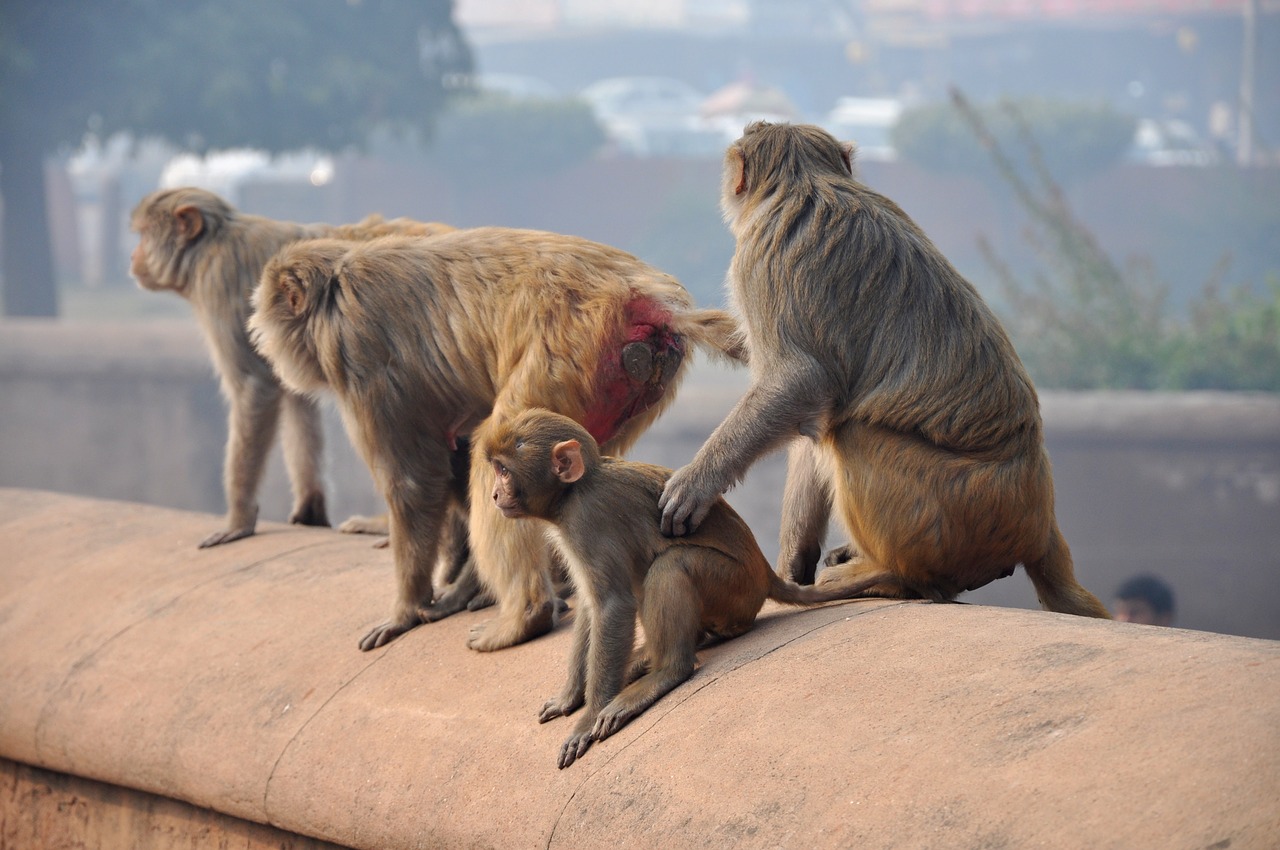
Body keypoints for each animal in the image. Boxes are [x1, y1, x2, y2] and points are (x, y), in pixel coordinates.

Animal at [128, 186, 455, 547]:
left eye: (144, 234)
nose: (132, 257)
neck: (210, 245)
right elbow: (296, 396)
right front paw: (310, 508)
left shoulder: (219, 284)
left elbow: (255, 387)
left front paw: (238, 519)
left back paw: (388, 524)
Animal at [245, 229, 747, 652]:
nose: (260, 338)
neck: (336, 285)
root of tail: (649, 300)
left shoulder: (357, 353)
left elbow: (413, 482)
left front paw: (405, 610)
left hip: (567, 353)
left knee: (499, 446)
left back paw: (525, 616)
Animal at [483, 407, 875, 768]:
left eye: (503, 470)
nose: (494, 495)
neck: (573, 492)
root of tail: (764, 574)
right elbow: (592, 607)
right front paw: (570, 697)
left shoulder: (586, 520)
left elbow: (612, 605)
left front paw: (587, 718)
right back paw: (651, 657)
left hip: (734, 587)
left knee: (670, 565)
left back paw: (667, 671)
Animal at [660, 120, 1111, 617]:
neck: (805, 179)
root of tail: (1039, 523)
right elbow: (800, 393)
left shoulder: (761, 258)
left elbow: (799, 382)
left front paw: (697, 483)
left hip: (958, 513)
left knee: (850, 432)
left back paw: (896, 577)